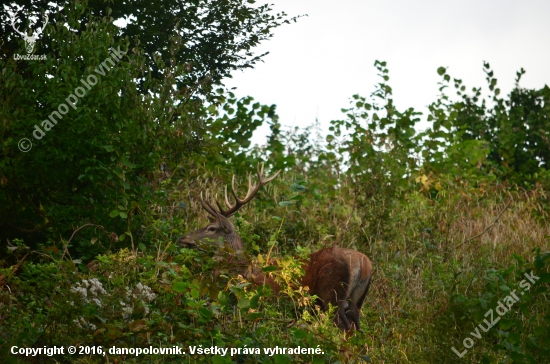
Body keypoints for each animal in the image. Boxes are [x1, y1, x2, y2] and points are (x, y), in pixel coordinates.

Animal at [181, 166, 376, 332]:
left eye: (211, 228)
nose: (183, 238)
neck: (241, 270)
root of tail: (364, 263)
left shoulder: (257, 298)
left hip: (331, 294)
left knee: (343, 327)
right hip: (356, 302)